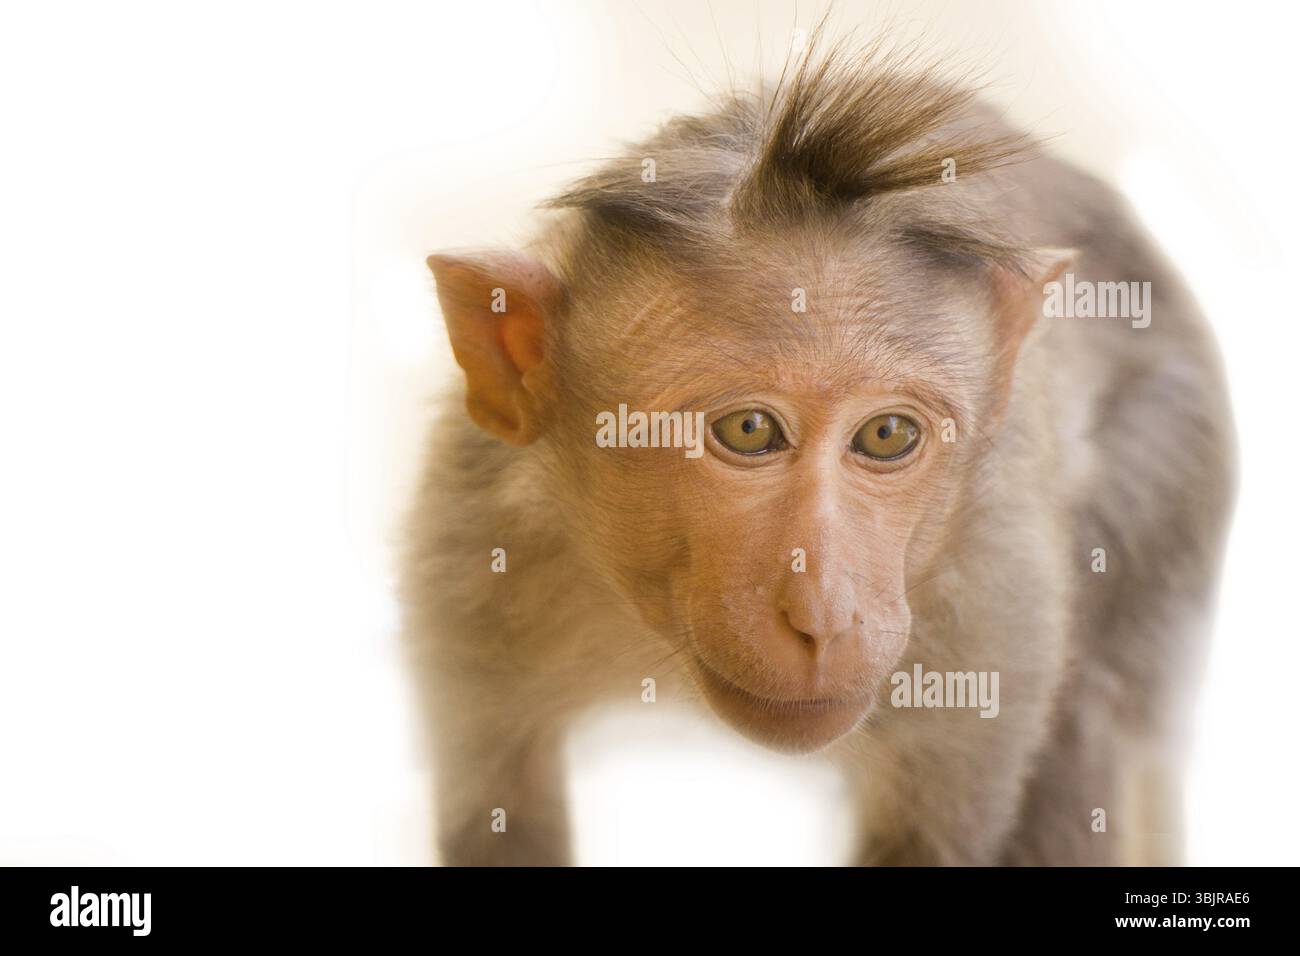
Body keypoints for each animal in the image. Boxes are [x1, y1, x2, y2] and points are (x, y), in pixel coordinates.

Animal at [401, 35, 1235, 866]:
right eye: (748, 431)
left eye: (887, 435)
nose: (824, 616)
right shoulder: (470, 551)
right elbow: (500, 815)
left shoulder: (994, 606)